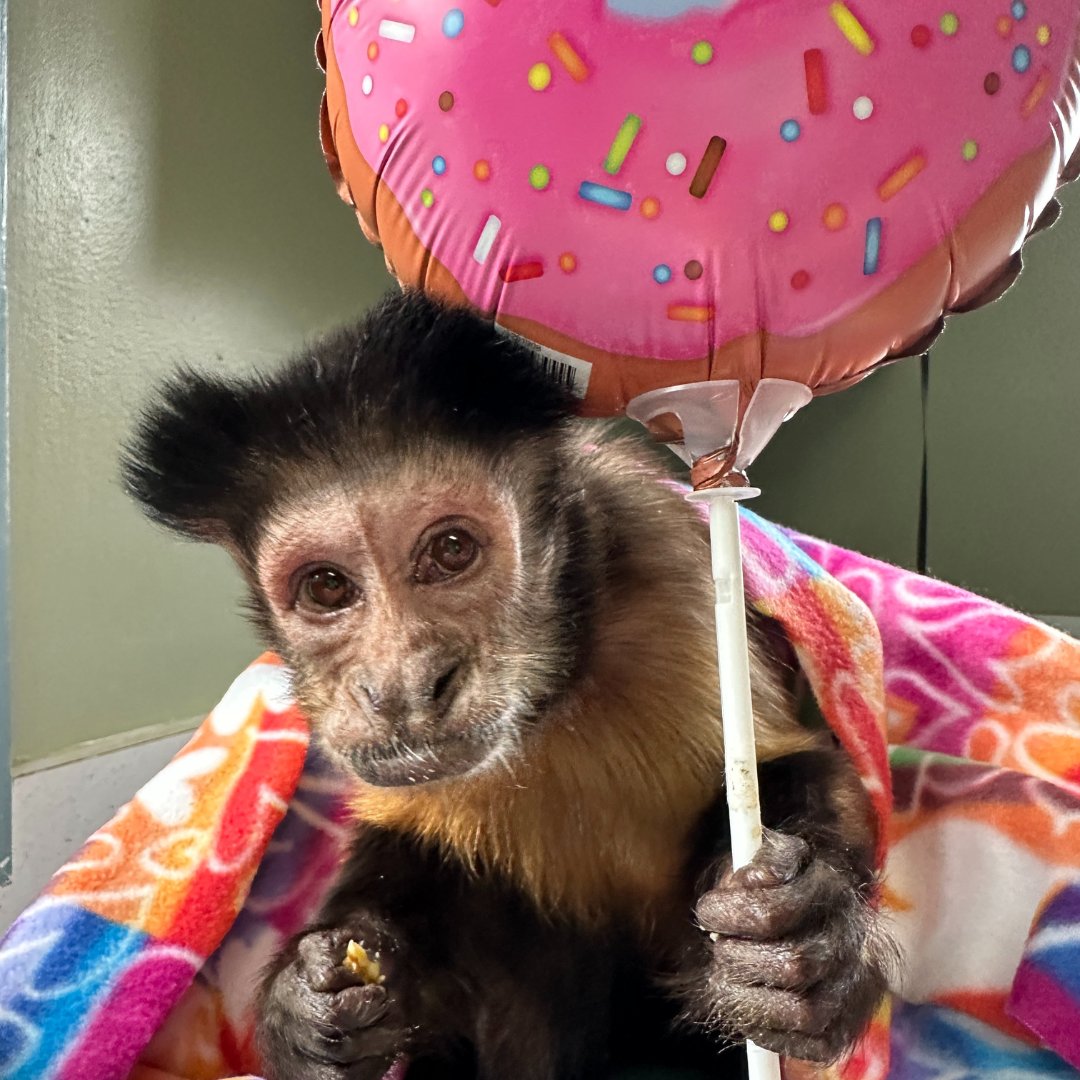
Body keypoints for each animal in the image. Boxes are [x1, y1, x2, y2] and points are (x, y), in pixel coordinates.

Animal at [122, 290, 894, 1080]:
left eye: (451, 549)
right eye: (327, 587)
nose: (402, 685)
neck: (551, 702)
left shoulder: (674, 572)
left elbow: (795, 766)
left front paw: (803, 948)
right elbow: (408, 862)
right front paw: (309, 1010)